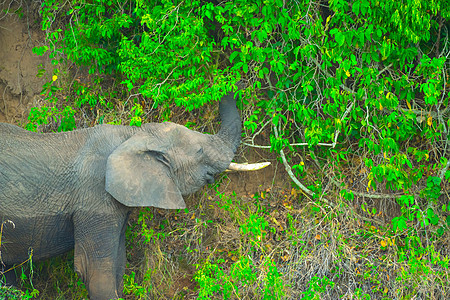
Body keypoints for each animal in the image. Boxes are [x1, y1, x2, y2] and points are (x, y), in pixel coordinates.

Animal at [0, 92, 244, 298]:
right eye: (199, 151)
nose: (230, 91)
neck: (132, 134)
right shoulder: (95, 199)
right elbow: (96, 274)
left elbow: (118, 266)